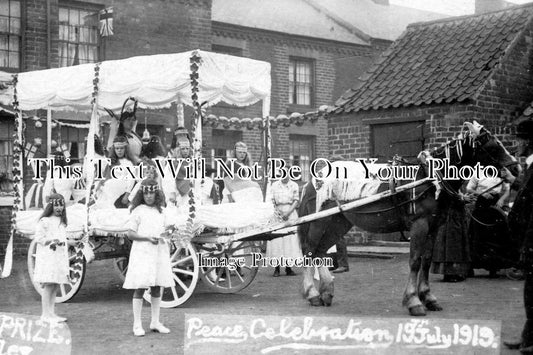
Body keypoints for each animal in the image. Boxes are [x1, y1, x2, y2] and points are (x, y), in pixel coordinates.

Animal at [300, 122, 520, 318]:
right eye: (492, 145)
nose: (516, 169)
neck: (430, 178)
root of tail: (314, 178)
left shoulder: (434, 227)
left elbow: (426, 261)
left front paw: (428, 298)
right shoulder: (419, 225)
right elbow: (414, 261)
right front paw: (414, 301)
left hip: (339, 222)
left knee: (320, 252)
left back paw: (327, 292)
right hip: (320, 222)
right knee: (310, 252)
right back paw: (312, 294)